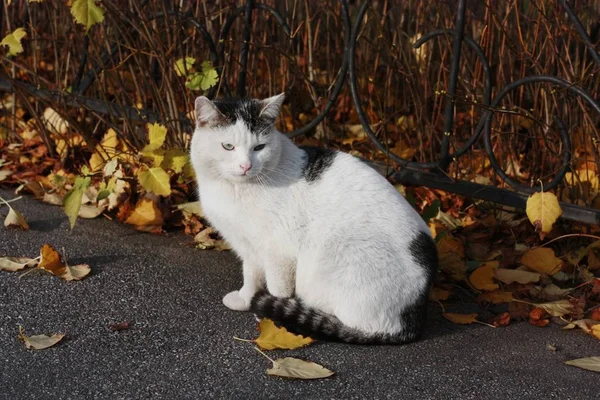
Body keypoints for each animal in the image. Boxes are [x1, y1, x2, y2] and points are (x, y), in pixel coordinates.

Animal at [190, 94, 438, 344]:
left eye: (259, 147)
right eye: (228, 146)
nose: (246, 165)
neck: (235, 189)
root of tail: (411, 323)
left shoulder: (279, 253)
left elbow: (276, 287)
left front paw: (269, 318)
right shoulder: (248, 246)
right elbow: (251, 275)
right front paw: (245, 299)